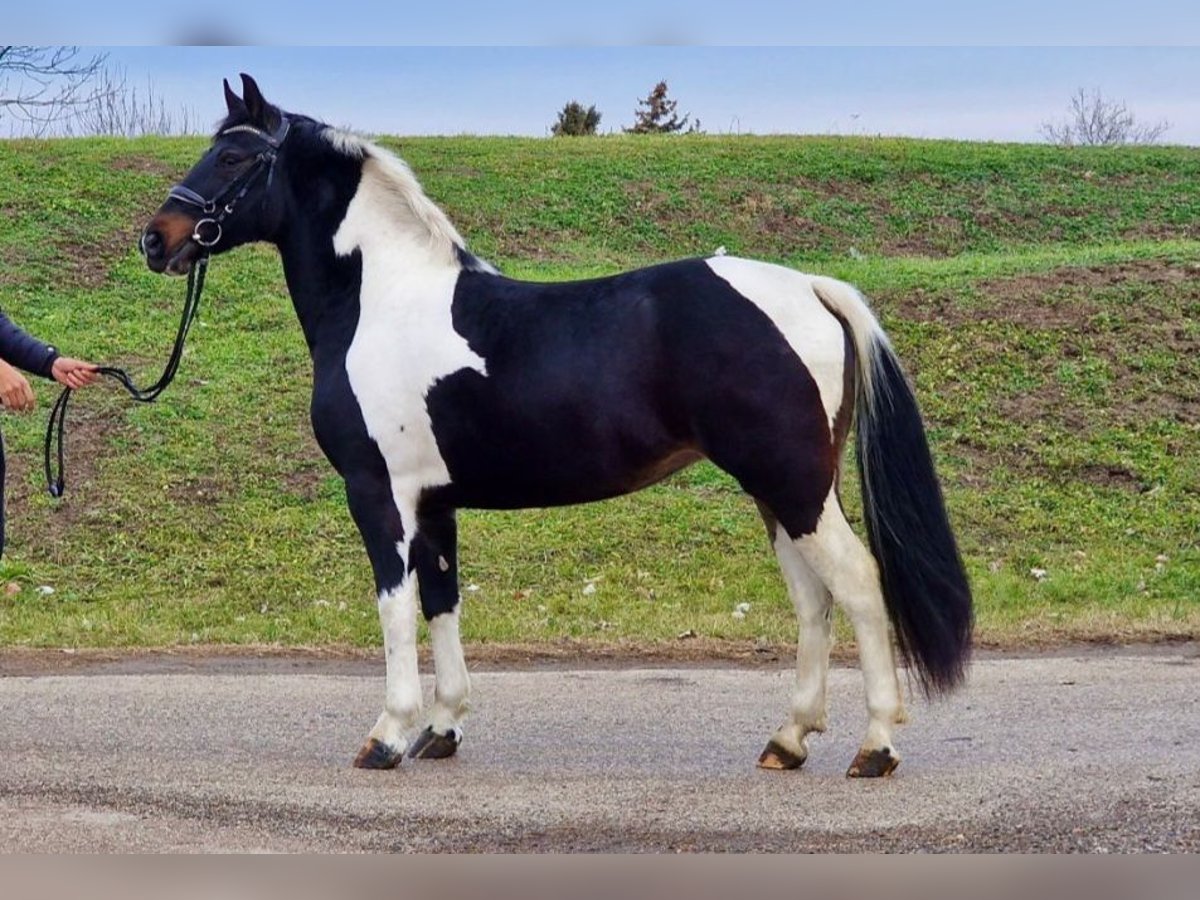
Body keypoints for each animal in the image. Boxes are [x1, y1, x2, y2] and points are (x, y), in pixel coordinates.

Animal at [140, 77, 969, 777]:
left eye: (235, 155)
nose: (157, 239)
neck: (380, 302)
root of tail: (811, 288)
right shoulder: (434, 504)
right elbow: (441, 602)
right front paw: (442, 729)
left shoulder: (379, 495)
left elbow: (394, 607)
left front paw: (388, 734)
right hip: (783, 494)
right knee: (812, 600)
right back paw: (788, 740)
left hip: (794, 486)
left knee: (857, 585)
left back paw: (875, 746)